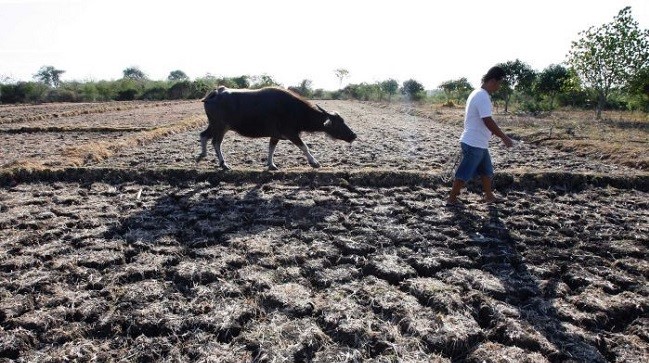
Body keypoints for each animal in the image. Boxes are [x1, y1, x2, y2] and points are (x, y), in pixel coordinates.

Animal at [195, 86, 356, 171]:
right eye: (338, 123)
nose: (353, 135)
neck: (296, 110)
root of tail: (214, 93)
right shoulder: (290, 133)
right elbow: (304, 147)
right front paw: (314, 162)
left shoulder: (276, 135)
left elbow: (271, 148)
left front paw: (271, 164)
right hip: (220, 126)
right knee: (216, 142)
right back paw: (224, 164)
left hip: (214, 125)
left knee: (203, 135)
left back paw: (202, 155)